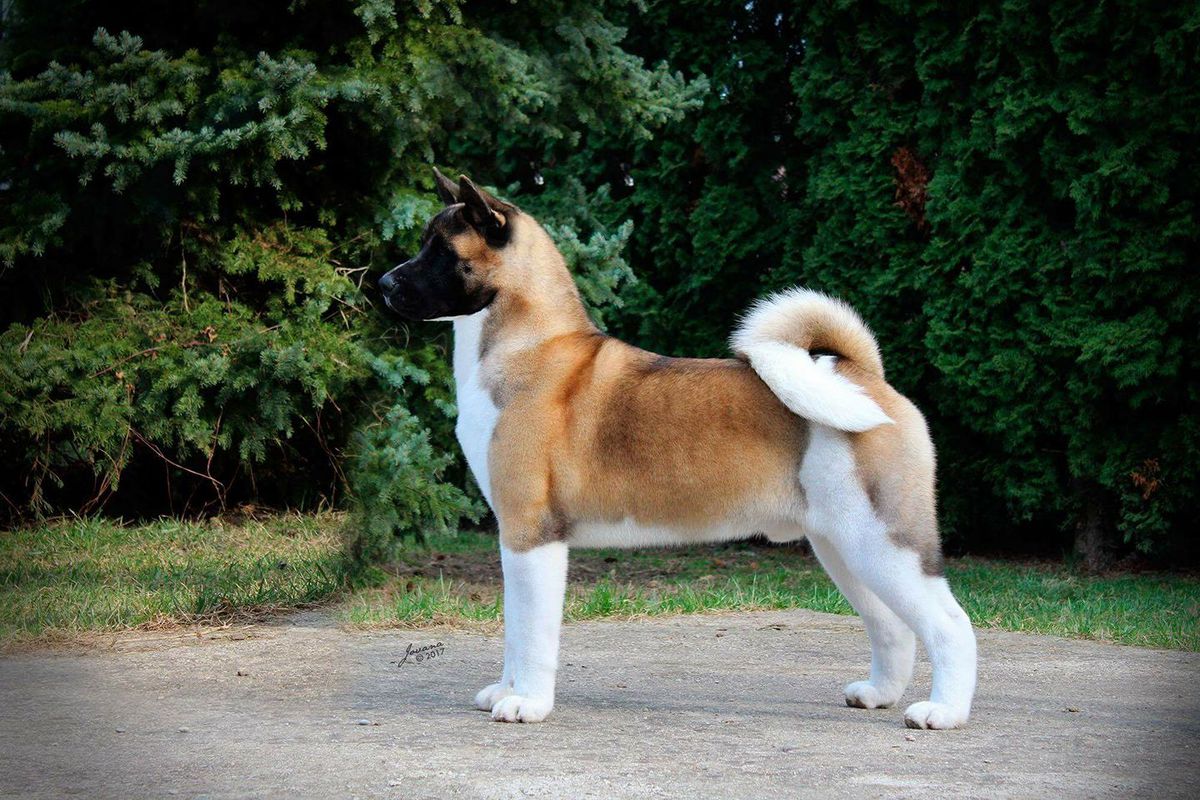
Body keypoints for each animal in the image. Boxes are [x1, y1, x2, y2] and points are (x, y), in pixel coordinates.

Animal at [377, 170, 977, 729]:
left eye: (442, 251)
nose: (382, 283)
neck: (528, 347)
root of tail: (864, 376)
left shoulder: (531, 535)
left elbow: (531, 632)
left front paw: (527, 702)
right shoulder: (514, 538)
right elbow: (511, 627)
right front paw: (505, 690)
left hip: (882, 539)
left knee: (949, 623)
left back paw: (943, 711)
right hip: (844, 544)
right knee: (892, 625)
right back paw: (878, 694)